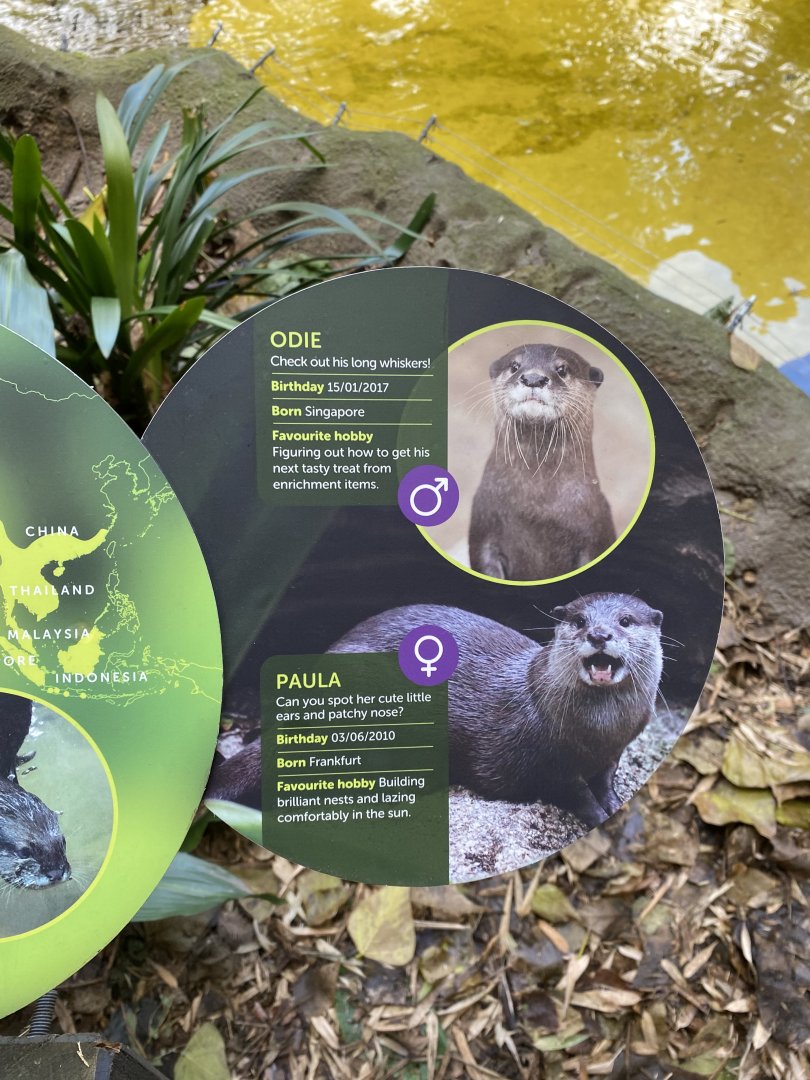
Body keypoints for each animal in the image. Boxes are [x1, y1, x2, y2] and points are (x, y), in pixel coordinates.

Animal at [329, 594, 663, 828]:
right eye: (580, 621)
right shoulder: (546, 763)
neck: (600, 733)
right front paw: (599, 815)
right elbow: (574, 794)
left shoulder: (614, 751)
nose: (599, 634)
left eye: (626, 620)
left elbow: (606, 781)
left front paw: (615, 804)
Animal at [468, 344, 616, 580]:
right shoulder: (484, 524)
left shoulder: (596, 532)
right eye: (514, 366)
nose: (533, 378)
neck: (536, 509)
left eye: (562, 369)